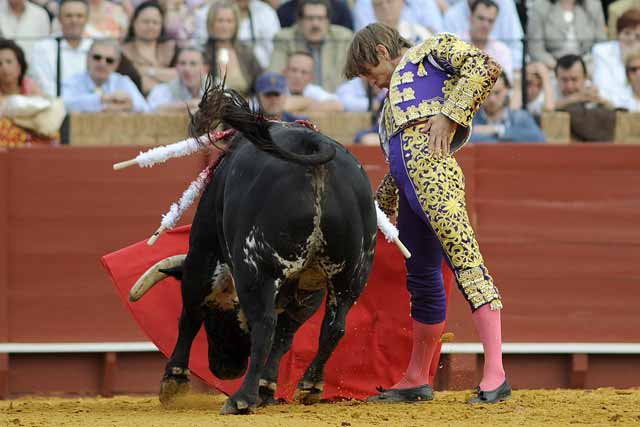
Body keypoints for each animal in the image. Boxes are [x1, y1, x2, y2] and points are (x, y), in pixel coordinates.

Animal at [127, 85, 378, 416]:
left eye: (217, 317)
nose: (225, 369)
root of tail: (314, 148)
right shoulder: (308, 290)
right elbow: (286, 336)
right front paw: (267, 388)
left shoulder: (202, 254)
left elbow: (190, 313)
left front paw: (174, 381)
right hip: (351, 274)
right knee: (333, 327)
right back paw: (309, 385)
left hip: (257, 267)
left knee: (265, 323)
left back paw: (241, 398)